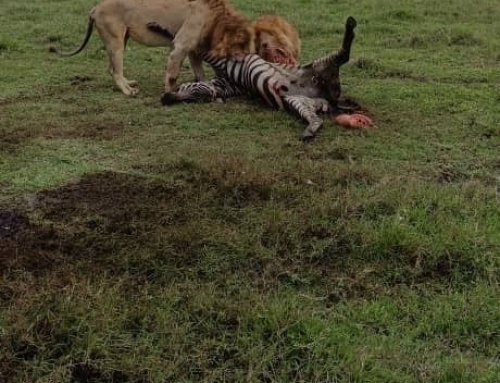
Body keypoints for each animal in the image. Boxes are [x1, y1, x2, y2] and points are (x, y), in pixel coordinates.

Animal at [51, 0, 254, 95]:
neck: (218, 16)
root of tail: (95, 7)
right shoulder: (180, 46)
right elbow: (172, 75)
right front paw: (171, 94)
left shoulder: (192, 49)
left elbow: (200, 73)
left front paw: (204, 86)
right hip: (115, 41)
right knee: (116, 71)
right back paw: (128, 91)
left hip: (121, 39)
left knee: (111, 69)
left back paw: (129, 83)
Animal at [146, 16, 358, 141]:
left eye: (195, 95)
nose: (166, 99)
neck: (225, 81)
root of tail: (330, 97)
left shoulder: (219, 59)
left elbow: (191, 44)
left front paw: (157, 27)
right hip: (298, 101)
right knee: (316, 119)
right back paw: (308, 133)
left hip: (321, 67)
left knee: (345, 55)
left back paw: (350, 25)